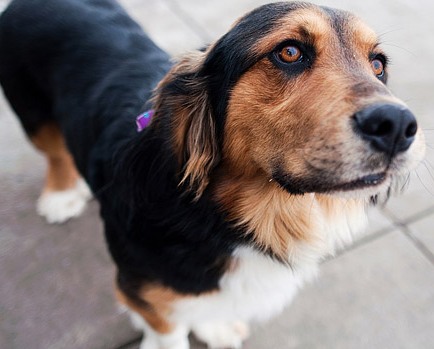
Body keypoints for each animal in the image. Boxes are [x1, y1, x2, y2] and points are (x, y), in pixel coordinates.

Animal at [0, 0, 424, 348]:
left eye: (378, 65)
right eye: (289, 52)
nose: (398, 126)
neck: (233, 219)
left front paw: (215, 326)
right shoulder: (145, 294)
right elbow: (169, 333)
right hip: (33, 115)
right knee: (55, 152)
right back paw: (61, 195)